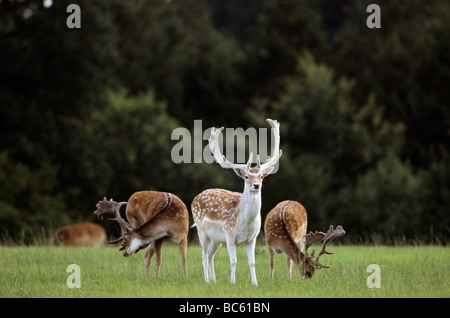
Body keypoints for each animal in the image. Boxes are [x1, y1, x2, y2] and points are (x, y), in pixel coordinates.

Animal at [192, 118, 284, 286]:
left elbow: (252, 262)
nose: (256, 185)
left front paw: (255, 283)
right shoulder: (229, 235)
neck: (246, 222)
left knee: (210, 255)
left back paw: (214, 281)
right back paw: (207, 280)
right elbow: (233, 261)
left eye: (261, 176)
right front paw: (232, 282)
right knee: (203, 255)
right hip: (202, 230)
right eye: (246, 176)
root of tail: (197, 197)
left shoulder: (252, 238)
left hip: (217, 239)